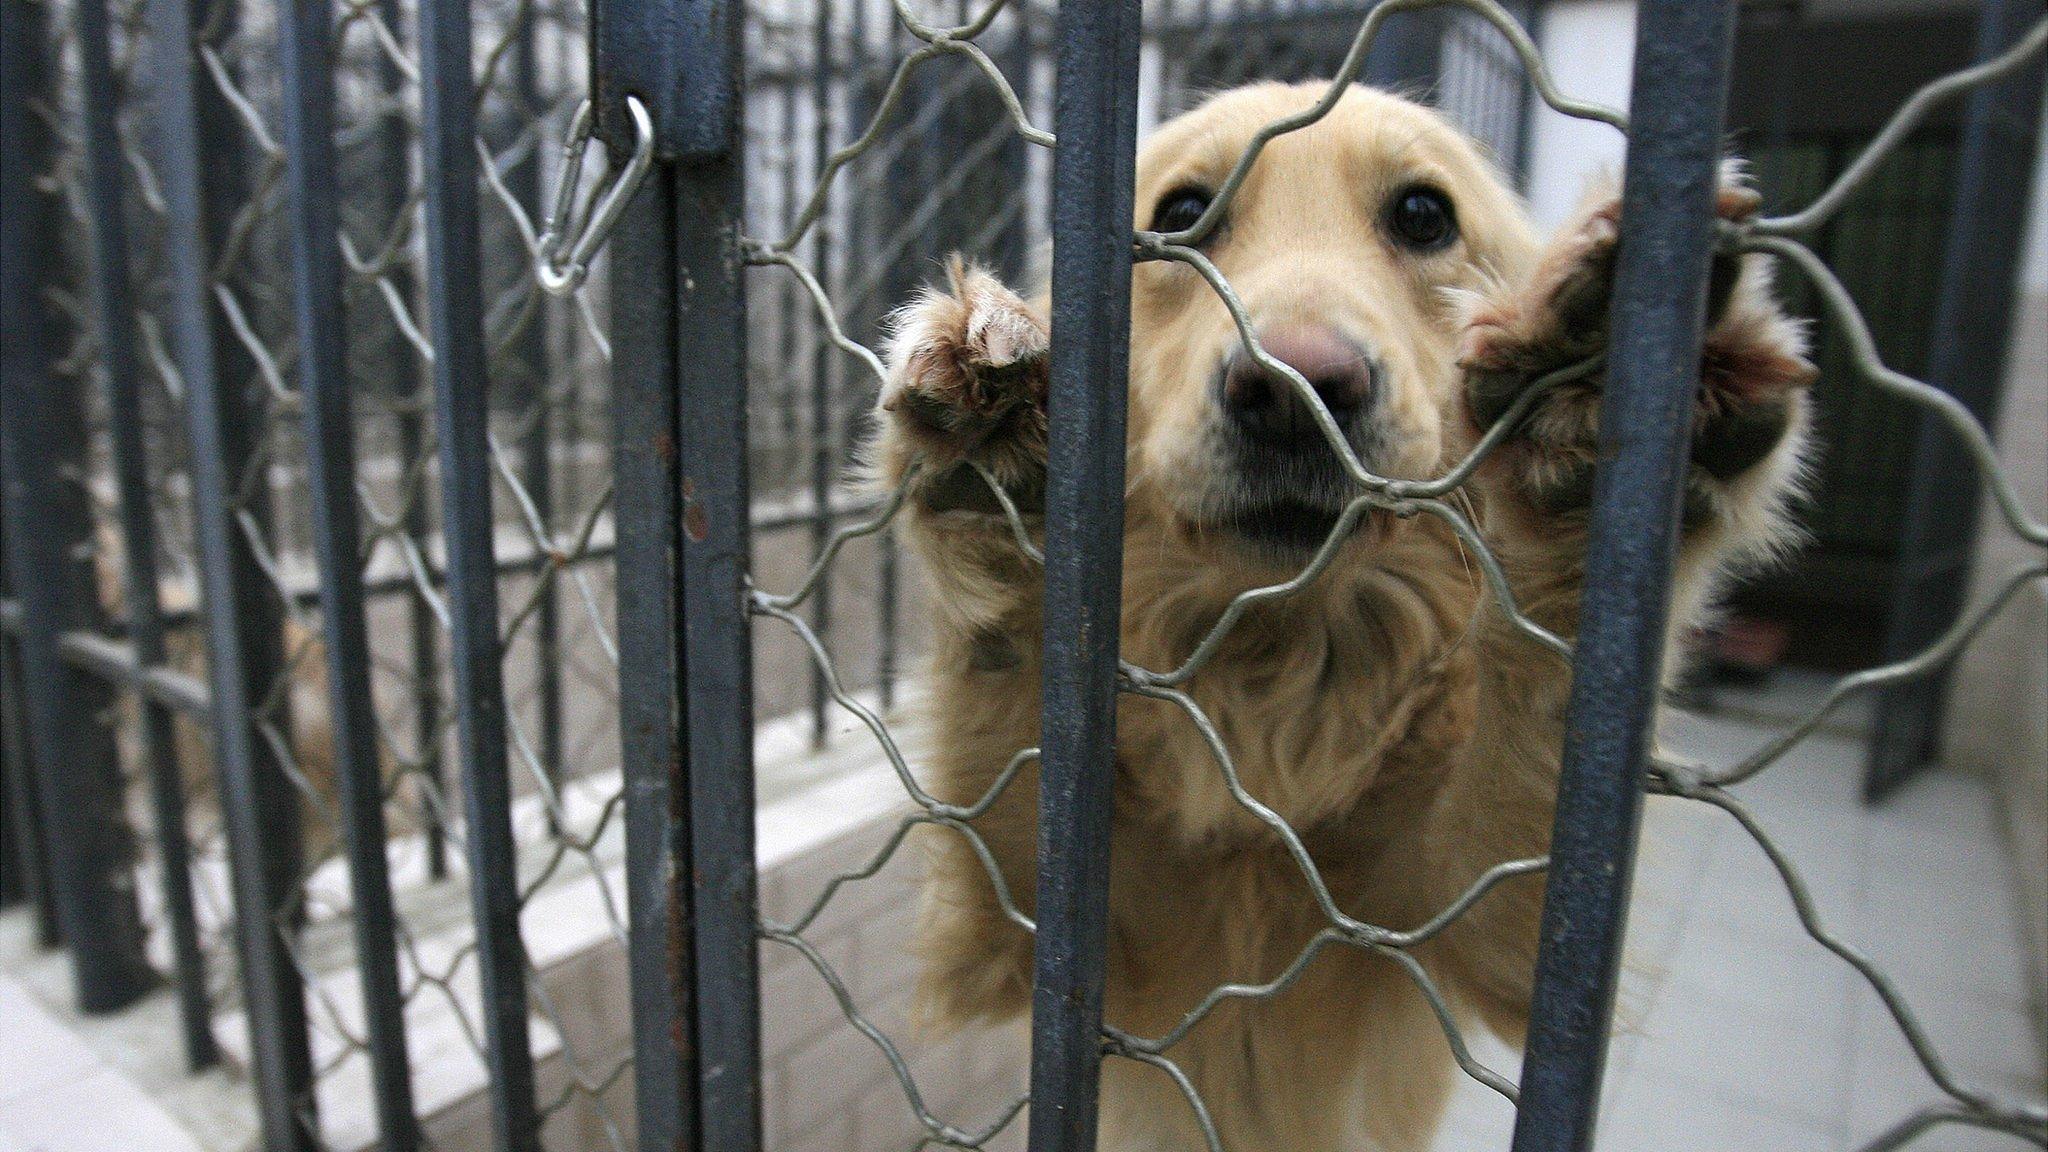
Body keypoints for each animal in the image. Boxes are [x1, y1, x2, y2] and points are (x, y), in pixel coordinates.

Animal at [864, 83, 1810, 1147]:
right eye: (1182, 214)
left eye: (1423, 215)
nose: (1293, 392)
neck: (1279, 682)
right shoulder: (1036, 926)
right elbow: (1011, 700)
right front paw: (990, 470)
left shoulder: (1494, 932)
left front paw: (1581, 433)